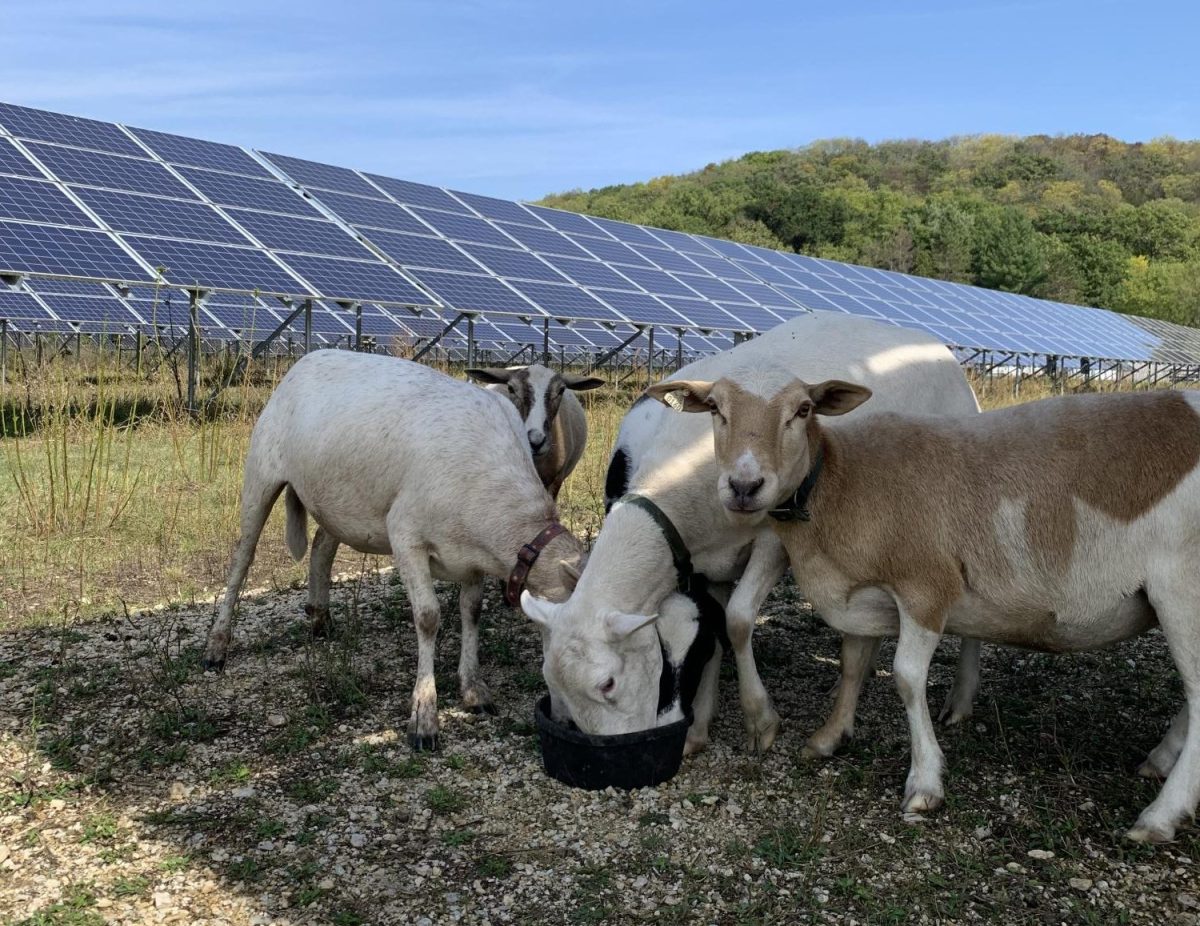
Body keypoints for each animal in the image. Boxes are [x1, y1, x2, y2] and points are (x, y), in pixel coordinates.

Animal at [202, 350, 585, 748]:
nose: (569, 723)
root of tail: (308, 358)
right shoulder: (406, 535)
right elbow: (428, 617)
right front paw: (424, 717)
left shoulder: (472, 557)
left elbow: (472, 611)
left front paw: (473, 690)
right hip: (262, 471)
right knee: (242, 558)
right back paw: (216, 647)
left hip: (338, 501)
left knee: (322, 546)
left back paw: (320, 617)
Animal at [525, 311, 984, 753]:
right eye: (552, 681)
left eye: (609, 684)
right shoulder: (705, 564)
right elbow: (717, 626)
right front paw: (700, 728)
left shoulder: (772, 540)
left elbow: (738, 621)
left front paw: (760, 721)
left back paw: (959, 702)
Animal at [652, 367, 1200, 839]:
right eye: (715, 409)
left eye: (803, 410)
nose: (744, 487)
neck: (842, 483)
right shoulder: (865, 591)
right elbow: (852, 661)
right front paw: (828, 736)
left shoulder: (925, 586)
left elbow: (906, 678)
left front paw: (924, 783)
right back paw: (1159, 763)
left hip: (1182, 590)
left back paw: (1159, 817)